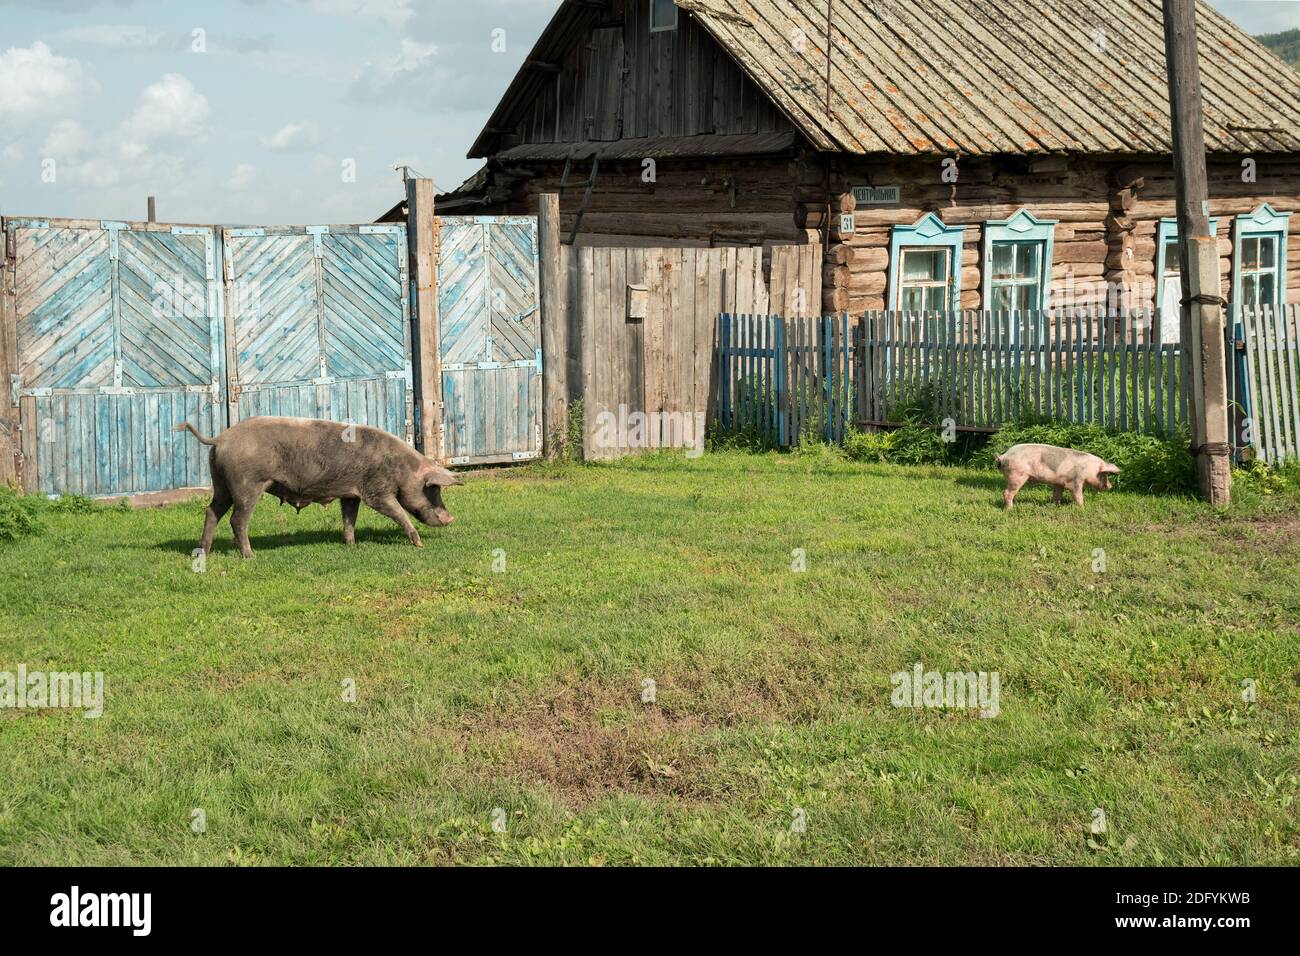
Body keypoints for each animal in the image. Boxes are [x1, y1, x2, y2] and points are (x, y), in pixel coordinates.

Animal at [172, 416, 457, 556]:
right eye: (432, 489)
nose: (450, 518)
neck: (402, 468)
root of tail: (220, 438)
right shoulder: (376, 491)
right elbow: (396, 511)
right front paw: (419, 543)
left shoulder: (351, 493)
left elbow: (349, 518)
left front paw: (350, 545)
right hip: (246, 484)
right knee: (237, 520)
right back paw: (250, 555)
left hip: (221, 484)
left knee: (211, 512)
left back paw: (204, 551)